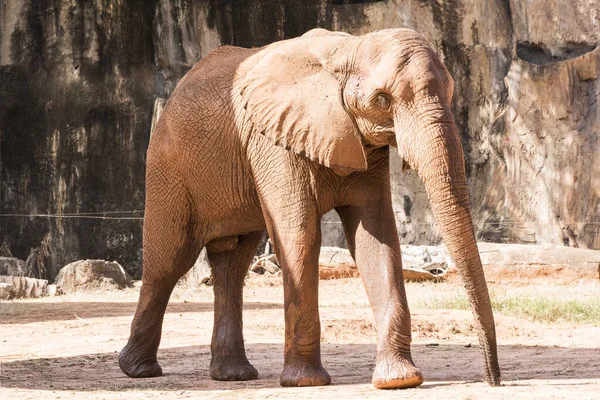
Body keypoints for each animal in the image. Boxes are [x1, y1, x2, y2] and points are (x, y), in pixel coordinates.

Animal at [118, 28, 502, 390]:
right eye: (382, 100)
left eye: (450, 93)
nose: (494, 379)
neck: (350, 49)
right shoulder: (274, 140)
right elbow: (300, 236)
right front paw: (305, 382)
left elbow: (377, 240)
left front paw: (399, 379)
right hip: (168, 168)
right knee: (169, 260)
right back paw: (139, 370)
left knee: (233, 265)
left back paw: (233, 375)